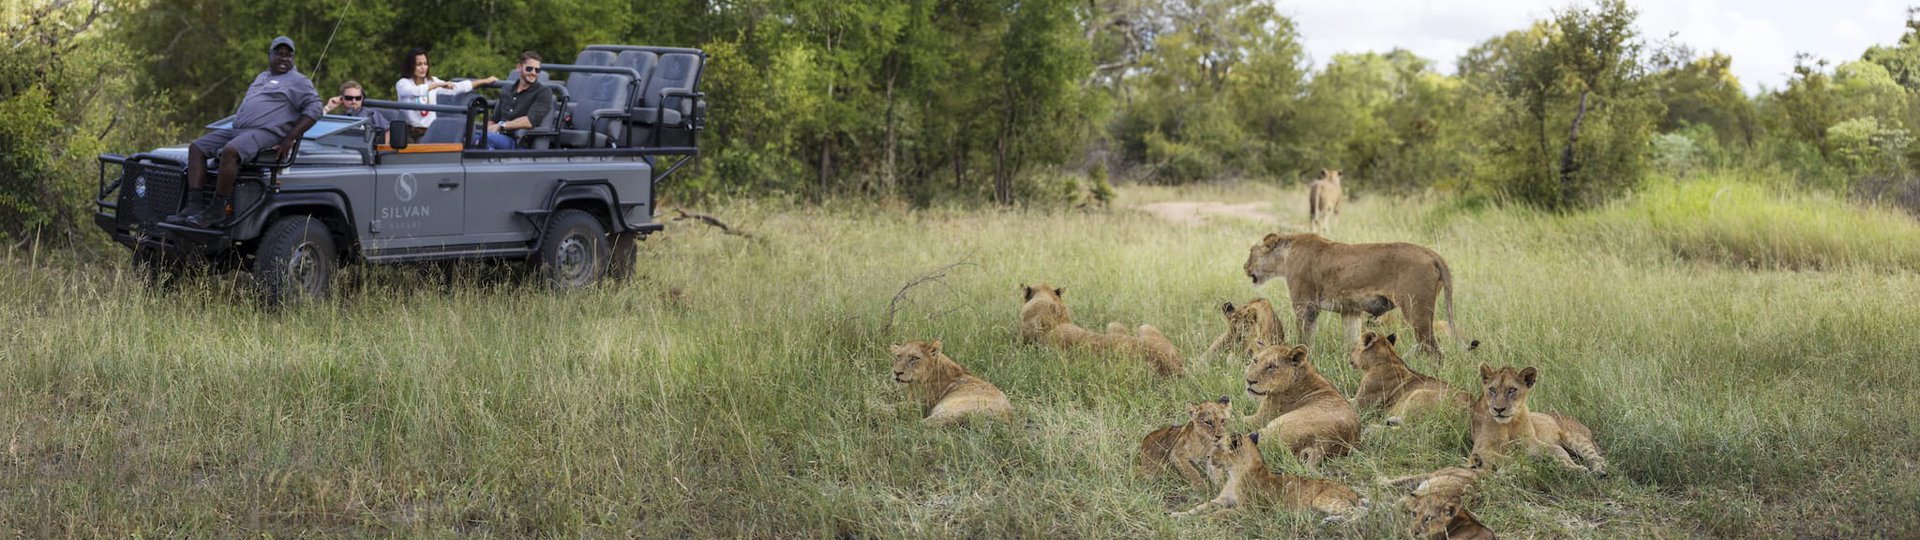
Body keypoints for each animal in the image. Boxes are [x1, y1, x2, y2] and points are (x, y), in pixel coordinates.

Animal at [1172, 431, 1368, 523]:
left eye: (1218, 446)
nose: (1208, 457)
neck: (1234, 473)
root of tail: (1353, 493)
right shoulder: (1221, 500)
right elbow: (1200, 506)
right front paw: (1177, 514)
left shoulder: (1250, 510)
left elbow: (1220, 513)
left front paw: (1205, 520)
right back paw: (1330, 520)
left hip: (1322, 500)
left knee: (1360, 512)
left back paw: (1337, 522)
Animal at [1243, 232, 1477, 361]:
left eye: (1251, 252)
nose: (1244, 267)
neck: (1284, 257)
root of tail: (1433, 254)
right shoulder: (1351, 311)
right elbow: (1351, 341)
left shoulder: (1305, 306)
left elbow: (1304, 339)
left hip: (1416, 309)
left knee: (1435, 351)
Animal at [1243, 343, 1359, 471]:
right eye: (1255, 361)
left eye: (1272, 366)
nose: (1249, 381)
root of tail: (1323, 444)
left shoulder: (1259, 419)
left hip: (1276, 425)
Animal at [1469, 365, 1608, 476]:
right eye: (1492, 390)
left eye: (1512, 390)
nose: (1498, 409)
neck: (1509, 424)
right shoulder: (1480, 449)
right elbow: (1507, 459)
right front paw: (1527, 469)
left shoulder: (1531, 442)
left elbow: (1557, 449)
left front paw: (1573, 467)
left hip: (1576, 438)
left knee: (1597, 457)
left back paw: (1599, 471)